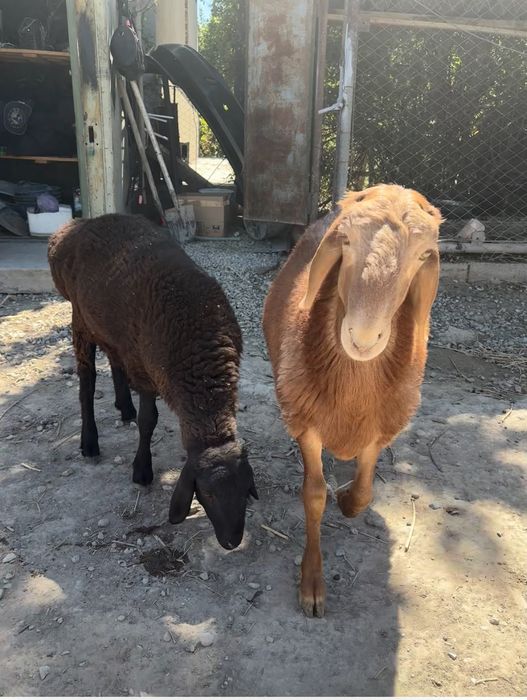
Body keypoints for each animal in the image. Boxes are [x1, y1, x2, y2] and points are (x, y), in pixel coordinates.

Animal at [48, 213, 258, 550]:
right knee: (87, 382)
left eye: (245, 490)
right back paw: (89, 441)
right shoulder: (146, 373)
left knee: (114, 361)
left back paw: (123, 406)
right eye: (208, 493)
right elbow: (149, 420)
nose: (232, 542)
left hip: (112, 329)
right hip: (81, 319)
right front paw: (141, 470)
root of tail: (77, 226)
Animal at [263, 184, 442, 616]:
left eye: (423, 255)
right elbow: (313, 495)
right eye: (345, 241)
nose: (362, 337)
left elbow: (364, 492)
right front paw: (312, 583)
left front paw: (346, 501)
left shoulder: (381, 426)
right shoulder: (306, 422)